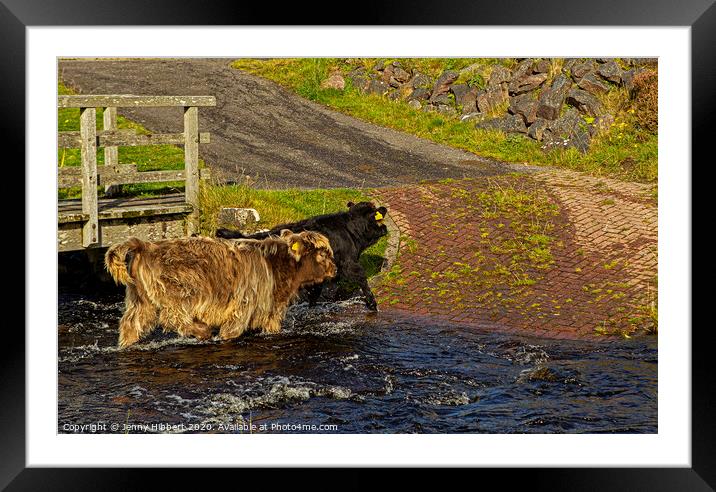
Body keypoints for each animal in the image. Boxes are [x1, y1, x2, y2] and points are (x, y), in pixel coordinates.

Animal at [105, 232, 338, 350]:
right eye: (322, 254)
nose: (334, 269)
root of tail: (144, 245)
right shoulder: (242, 307)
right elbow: (231, 332)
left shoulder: (271, 314)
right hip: (178, 296)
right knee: (173, 319)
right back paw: (203, 331)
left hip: (141, 301)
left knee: (130, 325)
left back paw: (126, 346)